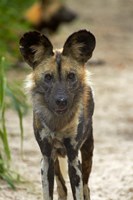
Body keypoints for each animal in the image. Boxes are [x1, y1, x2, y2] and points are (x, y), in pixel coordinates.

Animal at [19, 30, 95, 200]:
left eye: (71, 76)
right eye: (48, 77)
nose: (61, 101)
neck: (58, 123)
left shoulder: (73, 159)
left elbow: (78, 193)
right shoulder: (46, 158)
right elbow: (48, 193)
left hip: (87, 152)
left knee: (86, 188)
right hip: (53, 160)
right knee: (62, 188)